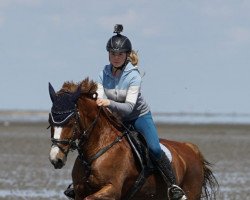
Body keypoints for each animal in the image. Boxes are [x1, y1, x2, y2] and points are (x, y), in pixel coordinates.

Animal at [47, 78, 218, 200]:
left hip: (191, 191)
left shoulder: (112, 190)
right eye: (50, 121)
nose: (56, 159)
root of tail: (191, 149)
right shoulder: (79, 191)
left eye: (71, 121)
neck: (98, 149)